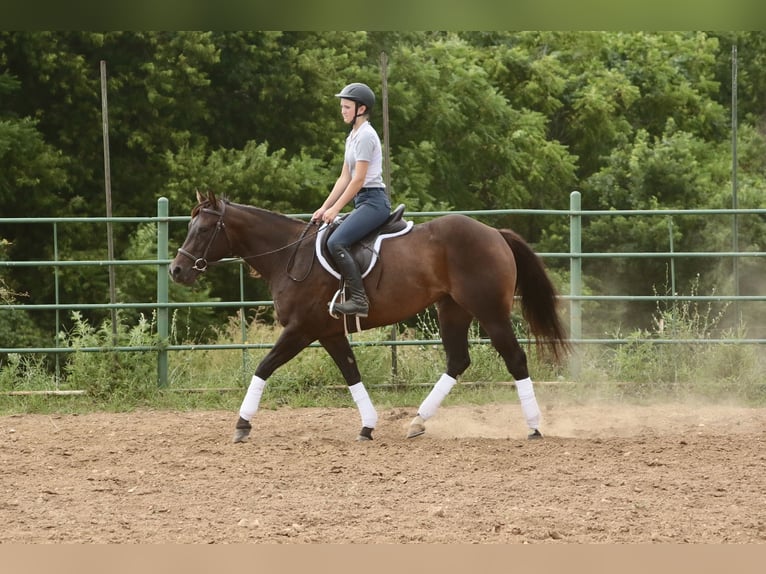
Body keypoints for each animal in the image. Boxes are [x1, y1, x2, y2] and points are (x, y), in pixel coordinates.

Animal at [169, 191, 570, 443]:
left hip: (490, 312)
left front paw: (242, 424)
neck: (289, 256)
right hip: (452, 310)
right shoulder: (329, 333)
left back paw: (534, 427)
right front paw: (368, 426)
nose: (176, 270)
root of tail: (494, 233)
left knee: (515, 358)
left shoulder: (301, 330)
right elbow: (351, 374)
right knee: (457, 361)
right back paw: (417, 422)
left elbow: (263, 367)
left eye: (203, 230)